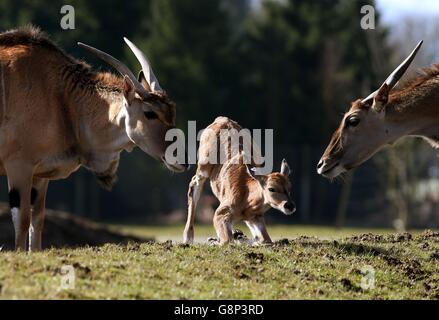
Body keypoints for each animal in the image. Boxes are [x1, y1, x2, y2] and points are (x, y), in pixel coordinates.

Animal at [0, 26, 187, 251]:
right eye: (150, 113)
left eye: (173, 111)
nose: (183, 160)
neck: (63, 98)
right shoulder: (19, 167)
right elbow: (22, 221)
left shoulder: (40, 175)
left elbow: (37, 222)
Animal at [182, 117, 296, 245]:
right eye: (271, 188)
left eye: (289, 188)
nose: (290, 206)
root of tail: (221, 119)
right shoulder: (220, 212)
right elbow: (227, 240)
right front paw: (215, 241)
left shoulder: (255, 217)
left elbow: (266, 240)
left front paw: (242, 238)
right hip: (203, 164)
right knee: (194, 183)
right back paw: (188, 238)